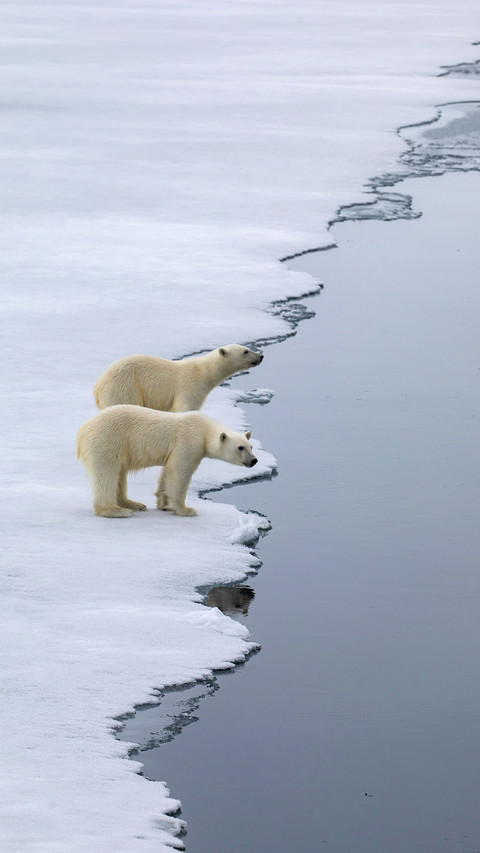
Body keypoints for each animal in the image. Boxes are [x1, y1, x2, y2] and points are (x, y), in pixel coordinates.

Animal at [76, 404, 257, 518]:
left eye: (251, 446)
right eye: (240, 447)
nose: (254, 460)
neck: (203, 429)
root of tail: (82, 431)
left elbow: (167, 471)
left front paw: (163, 503)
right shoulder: (188, 441)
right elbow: (179, 471)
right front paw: (186, 509)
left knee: (119, 474)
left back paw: (134, 504)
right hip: (108, 441)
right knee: (107, 473)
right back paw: (117, 511)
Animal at [93, 345, 263, 412]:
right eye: (245, 351)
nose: (260, 356)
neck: (203, 372)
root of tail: (97, 388)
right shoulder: (190, 387)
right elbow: (184, 408)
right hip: (124, 389)